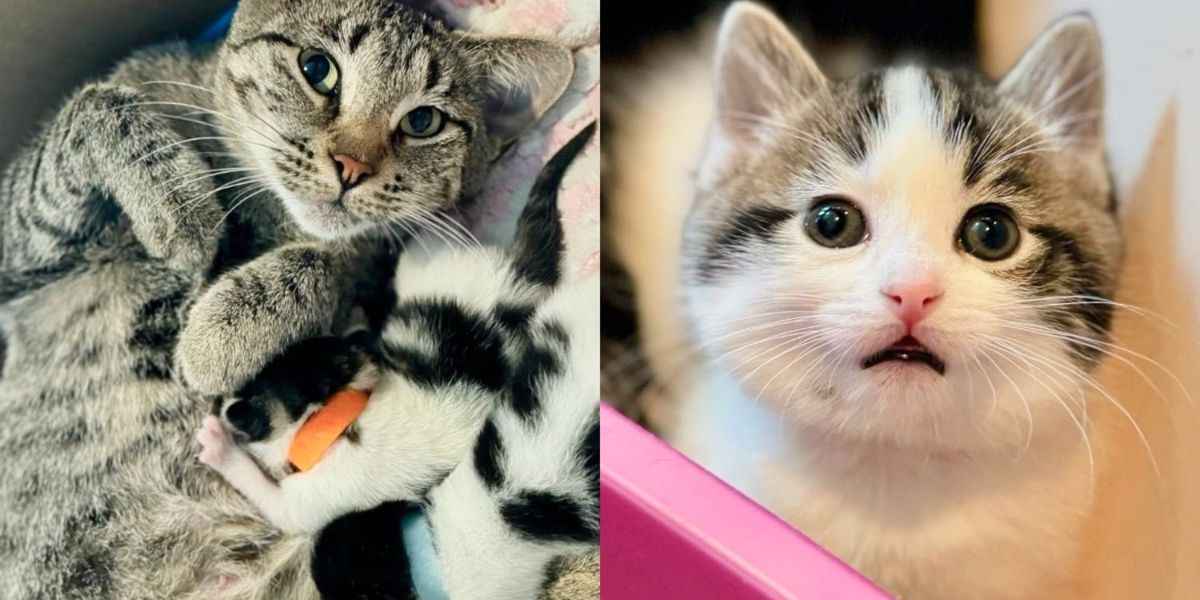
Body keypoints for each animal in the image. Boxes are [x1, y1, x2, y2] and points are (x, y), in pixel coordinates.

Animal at [198, 124, 604, 597]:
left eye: (243, 403)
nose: (223, 406)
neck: (334, 420)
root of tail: (513, 280)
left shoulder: (317, 499)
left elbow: (274, 501)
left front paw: (218, 445)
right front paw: (357, 321)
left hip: (428, 265)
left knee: (415, 242)